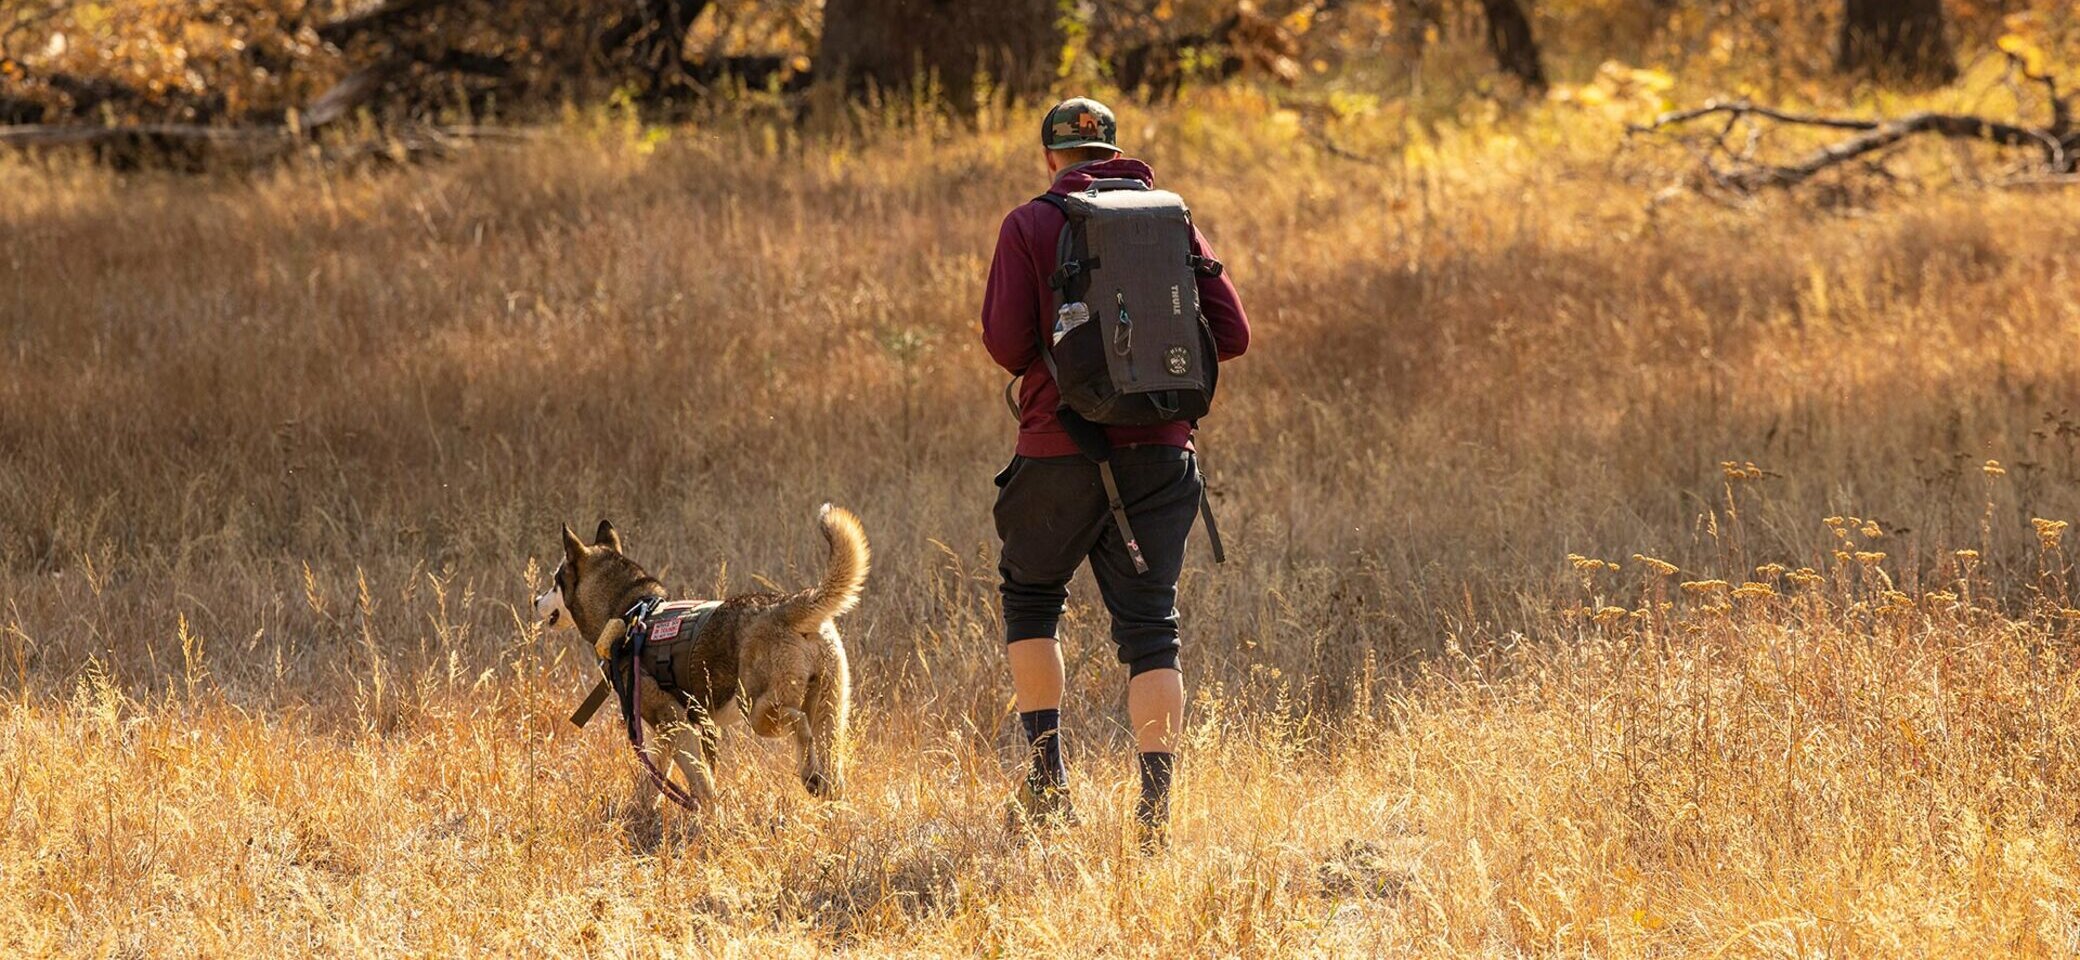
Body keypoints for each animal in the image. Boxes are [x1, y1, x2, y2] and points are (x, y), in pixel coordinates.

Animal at [536, 507, 869, 806]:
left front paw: (709, 818)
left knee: (799, 724)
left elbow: (701, 784)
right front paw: (638, 814)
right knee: (832, 769)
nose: (536, 600)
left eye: (555, 581)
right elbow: (654, 782)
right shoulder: (668, 734)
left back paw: (809, 774)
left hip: (758, 711)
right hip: (829, 713)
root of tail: (787, 606)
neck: (630, 613)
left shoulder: (675, 723)